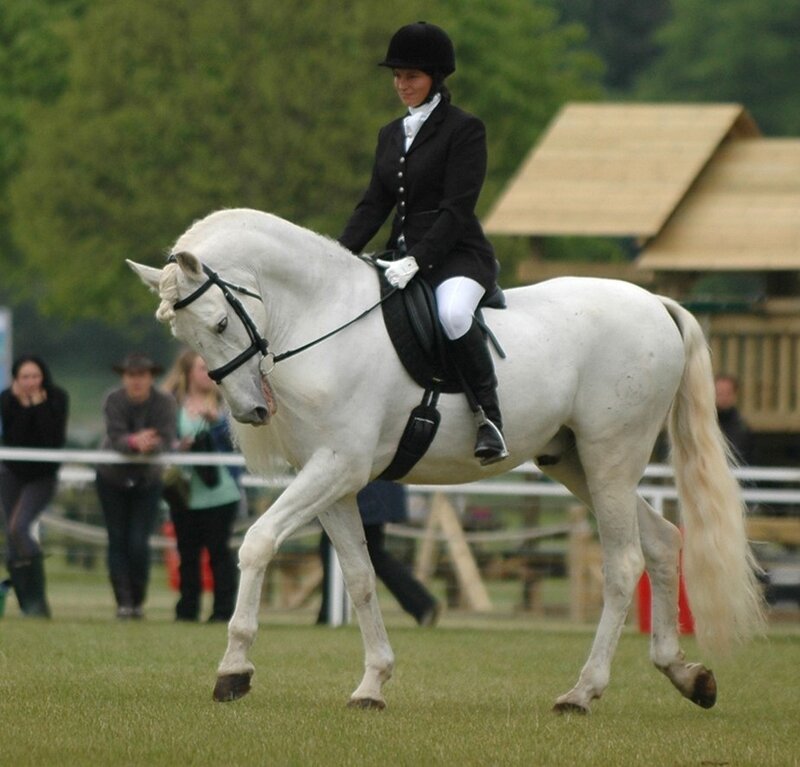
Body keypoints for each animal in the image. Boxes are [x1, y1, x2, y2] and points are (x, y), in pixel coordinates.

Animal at [128, 208, 765, 714]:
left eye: (219, 322)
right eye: (184, 337)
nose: (252, 411)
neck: (322, 320)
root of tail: (652, 302)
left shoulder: (338, 467)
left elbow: (258, 542)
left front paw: (234, 670)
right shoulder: (331, 480)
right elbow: (360, 577)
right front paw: (372, 684)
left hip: (611, 456)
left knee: (624, 562)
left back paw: (582, 692)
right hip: (574, 461)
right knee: (661, 541)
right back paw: (686, 674)